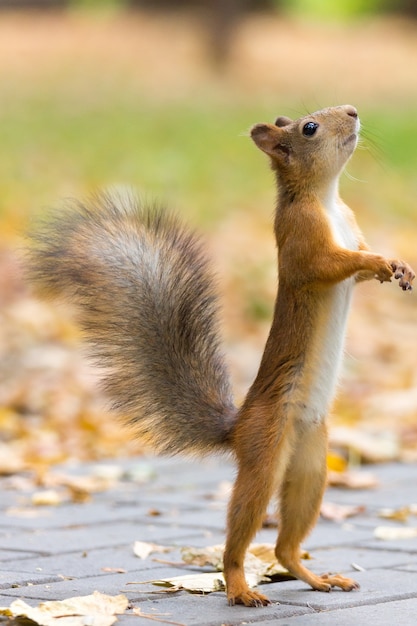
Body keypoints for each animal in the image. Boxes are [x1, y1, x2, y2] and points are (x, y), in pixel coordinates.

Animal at [26, 103, 412, 604]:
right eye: (310, 127)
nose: (352, 110)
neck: (327, 198)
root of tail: (239, 425)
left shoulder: (352, 227)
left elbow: (361, 260)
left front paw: (396, 264)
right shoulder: (302, 241)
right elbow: (331, 264)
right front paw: (378, 263)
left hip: (312, 463)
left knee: (285, 547)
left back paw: (316, 577)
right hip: (265, 453)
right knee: (241, 532)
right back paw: (240, 586)